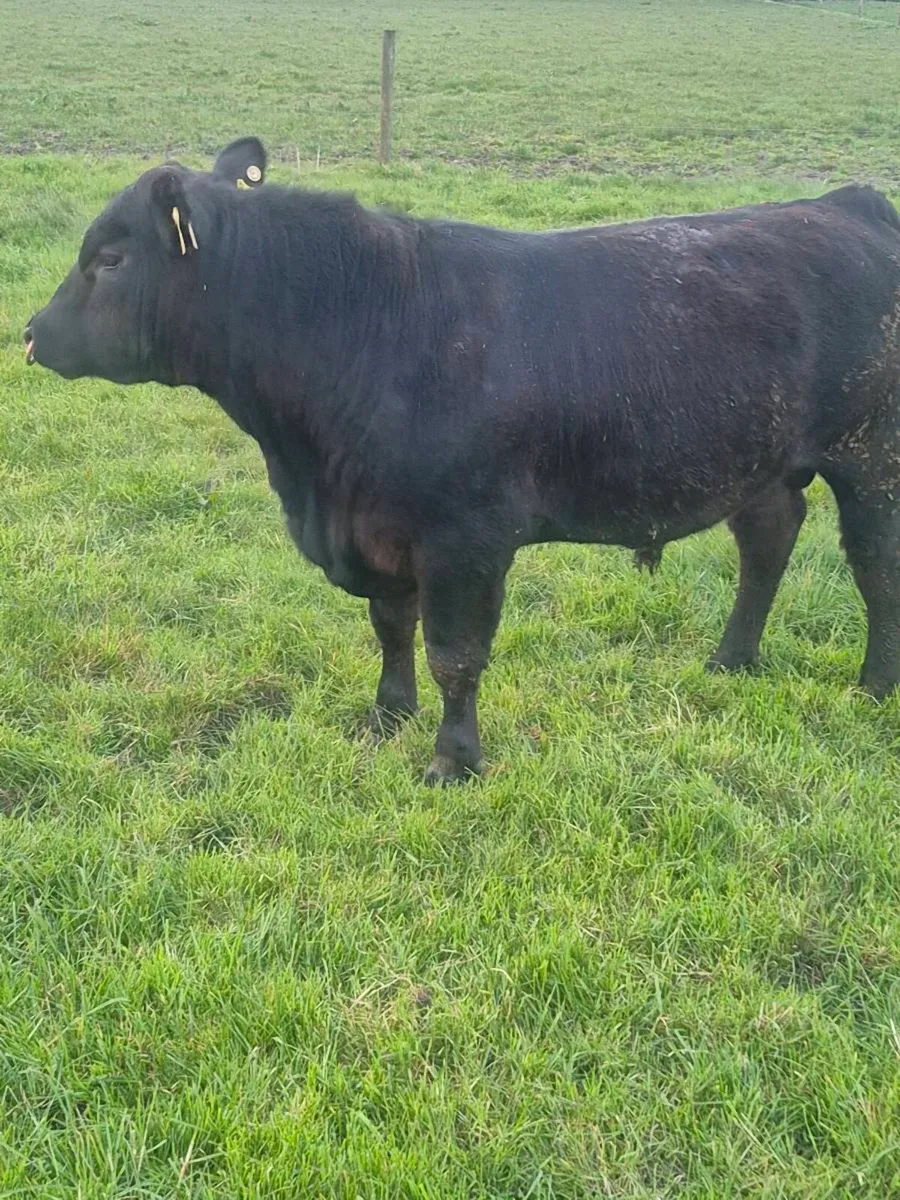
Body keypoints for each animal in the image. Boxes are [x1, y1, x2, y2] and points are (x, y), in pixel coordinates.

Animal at [25, 138, 900, 783]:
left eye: (110, 258)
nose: (31, 333)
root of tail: (843, 203)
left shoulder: (466, 542)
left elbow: (455, 655)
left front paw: (453, 759)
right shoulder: (380, 532)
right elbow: (390, 627)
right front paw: (388, 714)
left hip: (871, 457)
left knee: (873, 566)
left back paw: (874, 687)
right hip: (762, 460)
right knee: (769, 541)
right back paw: (730, 661)